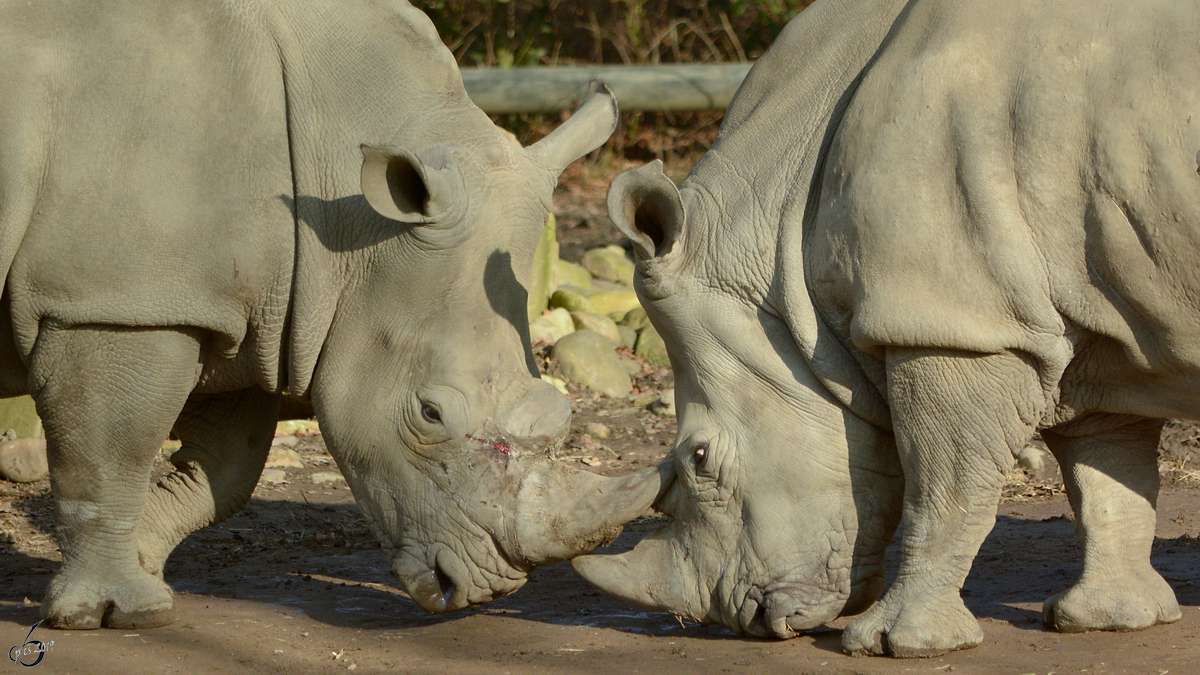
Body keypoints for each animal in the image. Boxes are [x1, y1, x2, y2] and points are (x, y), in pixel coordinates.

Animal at [0, 1, 672, 629]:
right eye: (429, 414)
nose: (485, 589)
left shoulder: (247, 313)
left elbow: (224, 473)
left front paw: (136, 565)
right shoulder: (113, 303)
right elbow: (111, 455)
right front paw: (119, 613)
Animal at [576, 0, 1195, 658]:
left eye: (699, 457)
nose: (747, 620)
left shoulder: (951, 325)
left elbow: (944, 489)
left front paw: (894, 644)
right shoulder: (1093, 311)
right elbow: (1104, 468)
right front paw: (1106, 619)